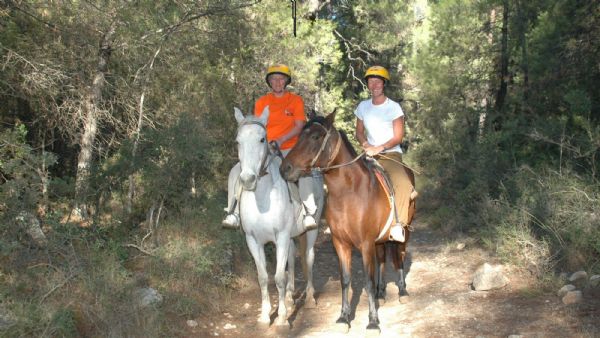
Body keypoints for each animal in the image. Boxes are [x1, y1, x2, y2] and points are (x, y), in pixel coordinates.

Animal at [229, 107, 322, 326]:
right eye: (237, 141)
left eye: (262, 139)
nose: (248, 179)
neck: (262, 200)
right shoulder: (253, 240)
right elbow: (263, 277)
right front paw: (265, 316)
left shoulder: (280, 237)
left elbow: (279, 277)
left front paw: (281, 318)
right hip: (290, 236)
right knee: (292, 258)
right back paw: (288, 297)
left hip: (311, 230)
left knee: (308, 258)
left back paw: (310, 298)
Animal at [278, 111, 414, 332]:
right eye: (299, 136)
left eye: (316, 137)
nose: (285, 168)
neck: (349, 192)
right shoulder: (341, 243)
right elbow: (346, 279)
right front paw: (343, 317)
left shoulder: (365, 244)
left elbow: (367, 281)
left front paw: (373, 322)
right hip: (379, 240)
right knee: (383, 258)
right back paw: (382, 293)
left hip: (404, 232)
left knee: (399, 255)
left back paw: (402, 291)